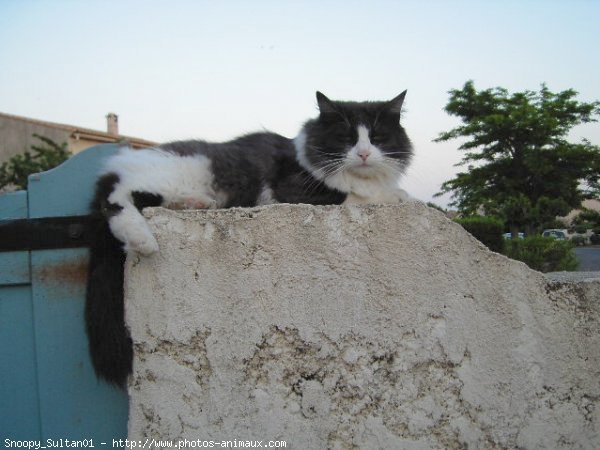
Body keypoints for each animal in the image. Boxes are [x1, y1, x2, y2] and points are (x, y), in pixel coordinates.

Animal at [84, 91, 412, 386]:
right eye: (346, 139)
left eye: (378, 137)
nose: (364, 154)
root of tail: (120, 160)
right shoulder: (295, 188)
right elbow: (356, 196)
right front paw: (396, 195)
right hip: (174, 174)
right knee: (114, 197)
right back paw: (142, 237)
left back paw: (192, 204)